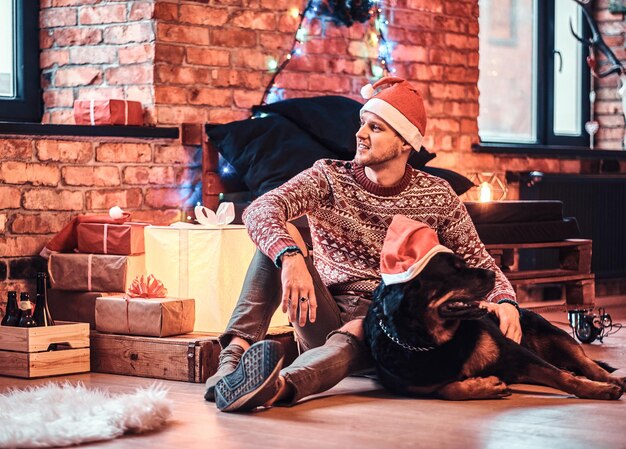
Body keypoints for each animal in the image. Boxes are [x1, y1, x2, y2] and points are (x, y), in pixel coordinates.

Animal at [364, 252, 620, 400]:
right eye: (456, 270)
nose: (493, 272)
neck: (435, 342)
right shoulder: (414, 384)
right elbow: (448, 389)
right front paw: (487, 385)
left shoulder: (516, 351)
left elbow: (564, 378)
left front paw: (599, 390)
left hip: (555, 335)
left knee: (586, 363)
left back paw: (610, 380)